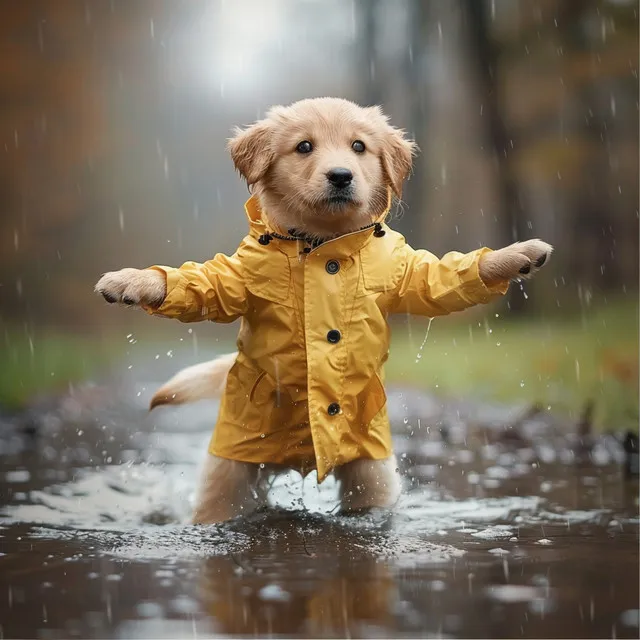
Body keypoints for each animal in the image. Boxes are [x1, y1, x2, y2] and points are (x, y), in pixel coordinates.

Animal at [94, 97, 552, 524]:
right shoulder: (236, 279)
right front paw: (131, 282)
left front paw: (514, 256)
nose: (341, 175)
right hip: (229, 473)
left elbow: (442, 279)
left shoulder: (406, 272)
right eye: (304, 147)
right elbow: (199, 285)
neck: (323, 246)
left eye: (358, 147)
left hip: (372, 474)